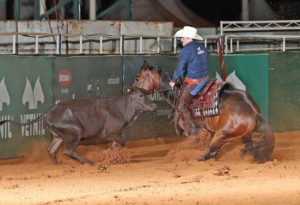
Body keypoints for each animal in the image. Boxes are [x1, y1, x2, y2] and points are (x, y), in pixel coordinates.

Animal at [132, 60, 276, 163]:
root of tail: (254, 112)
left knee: (210, 153)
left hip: (221, 134)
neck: (178, 94)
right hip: (243, 135)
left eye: (137, 78)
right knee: (246, 148)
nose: (131, 91)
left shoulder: (197, 132)